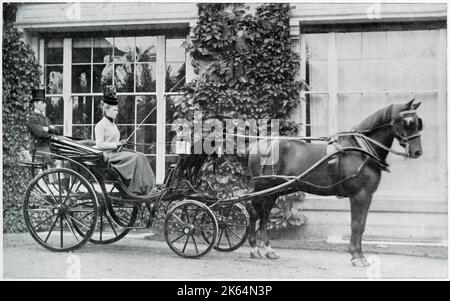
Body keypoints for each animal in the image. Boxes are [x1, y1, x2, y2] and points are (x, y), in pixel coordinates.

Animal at [248, 99, 424, 264]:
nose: (417, 152)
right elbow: (357, 225)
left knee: (264, 215)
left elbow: (362, 225)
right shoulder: (359, 195)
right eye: (407, 123)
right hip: (263, 187)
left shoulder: (367, 196)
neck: (362, 149)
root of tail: (257, 145)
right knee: (255, 212)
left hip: (274, 191)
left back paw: (268, 250)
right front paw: (357, 257)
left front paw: (358, 255)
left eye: (419, 122)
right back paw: (255, 248)